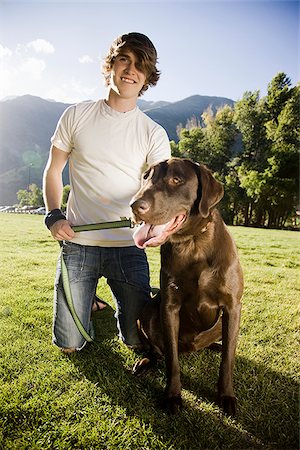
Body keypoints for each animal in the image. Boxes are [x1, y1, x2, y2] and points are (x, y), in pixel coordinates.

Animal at [130, 157, 243, 414]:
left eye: (176, 180)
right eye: (146, 177)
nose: (134, 206)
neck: (193, 243)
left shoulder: (233, 307)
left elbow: (228, 360)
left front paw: (226, 395)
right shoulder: (169, 306)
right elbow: (172, 360)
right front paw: (172, 396)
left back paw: (215, 346)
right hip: (147, 311)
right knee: (157, 350)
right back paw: (146, 362)